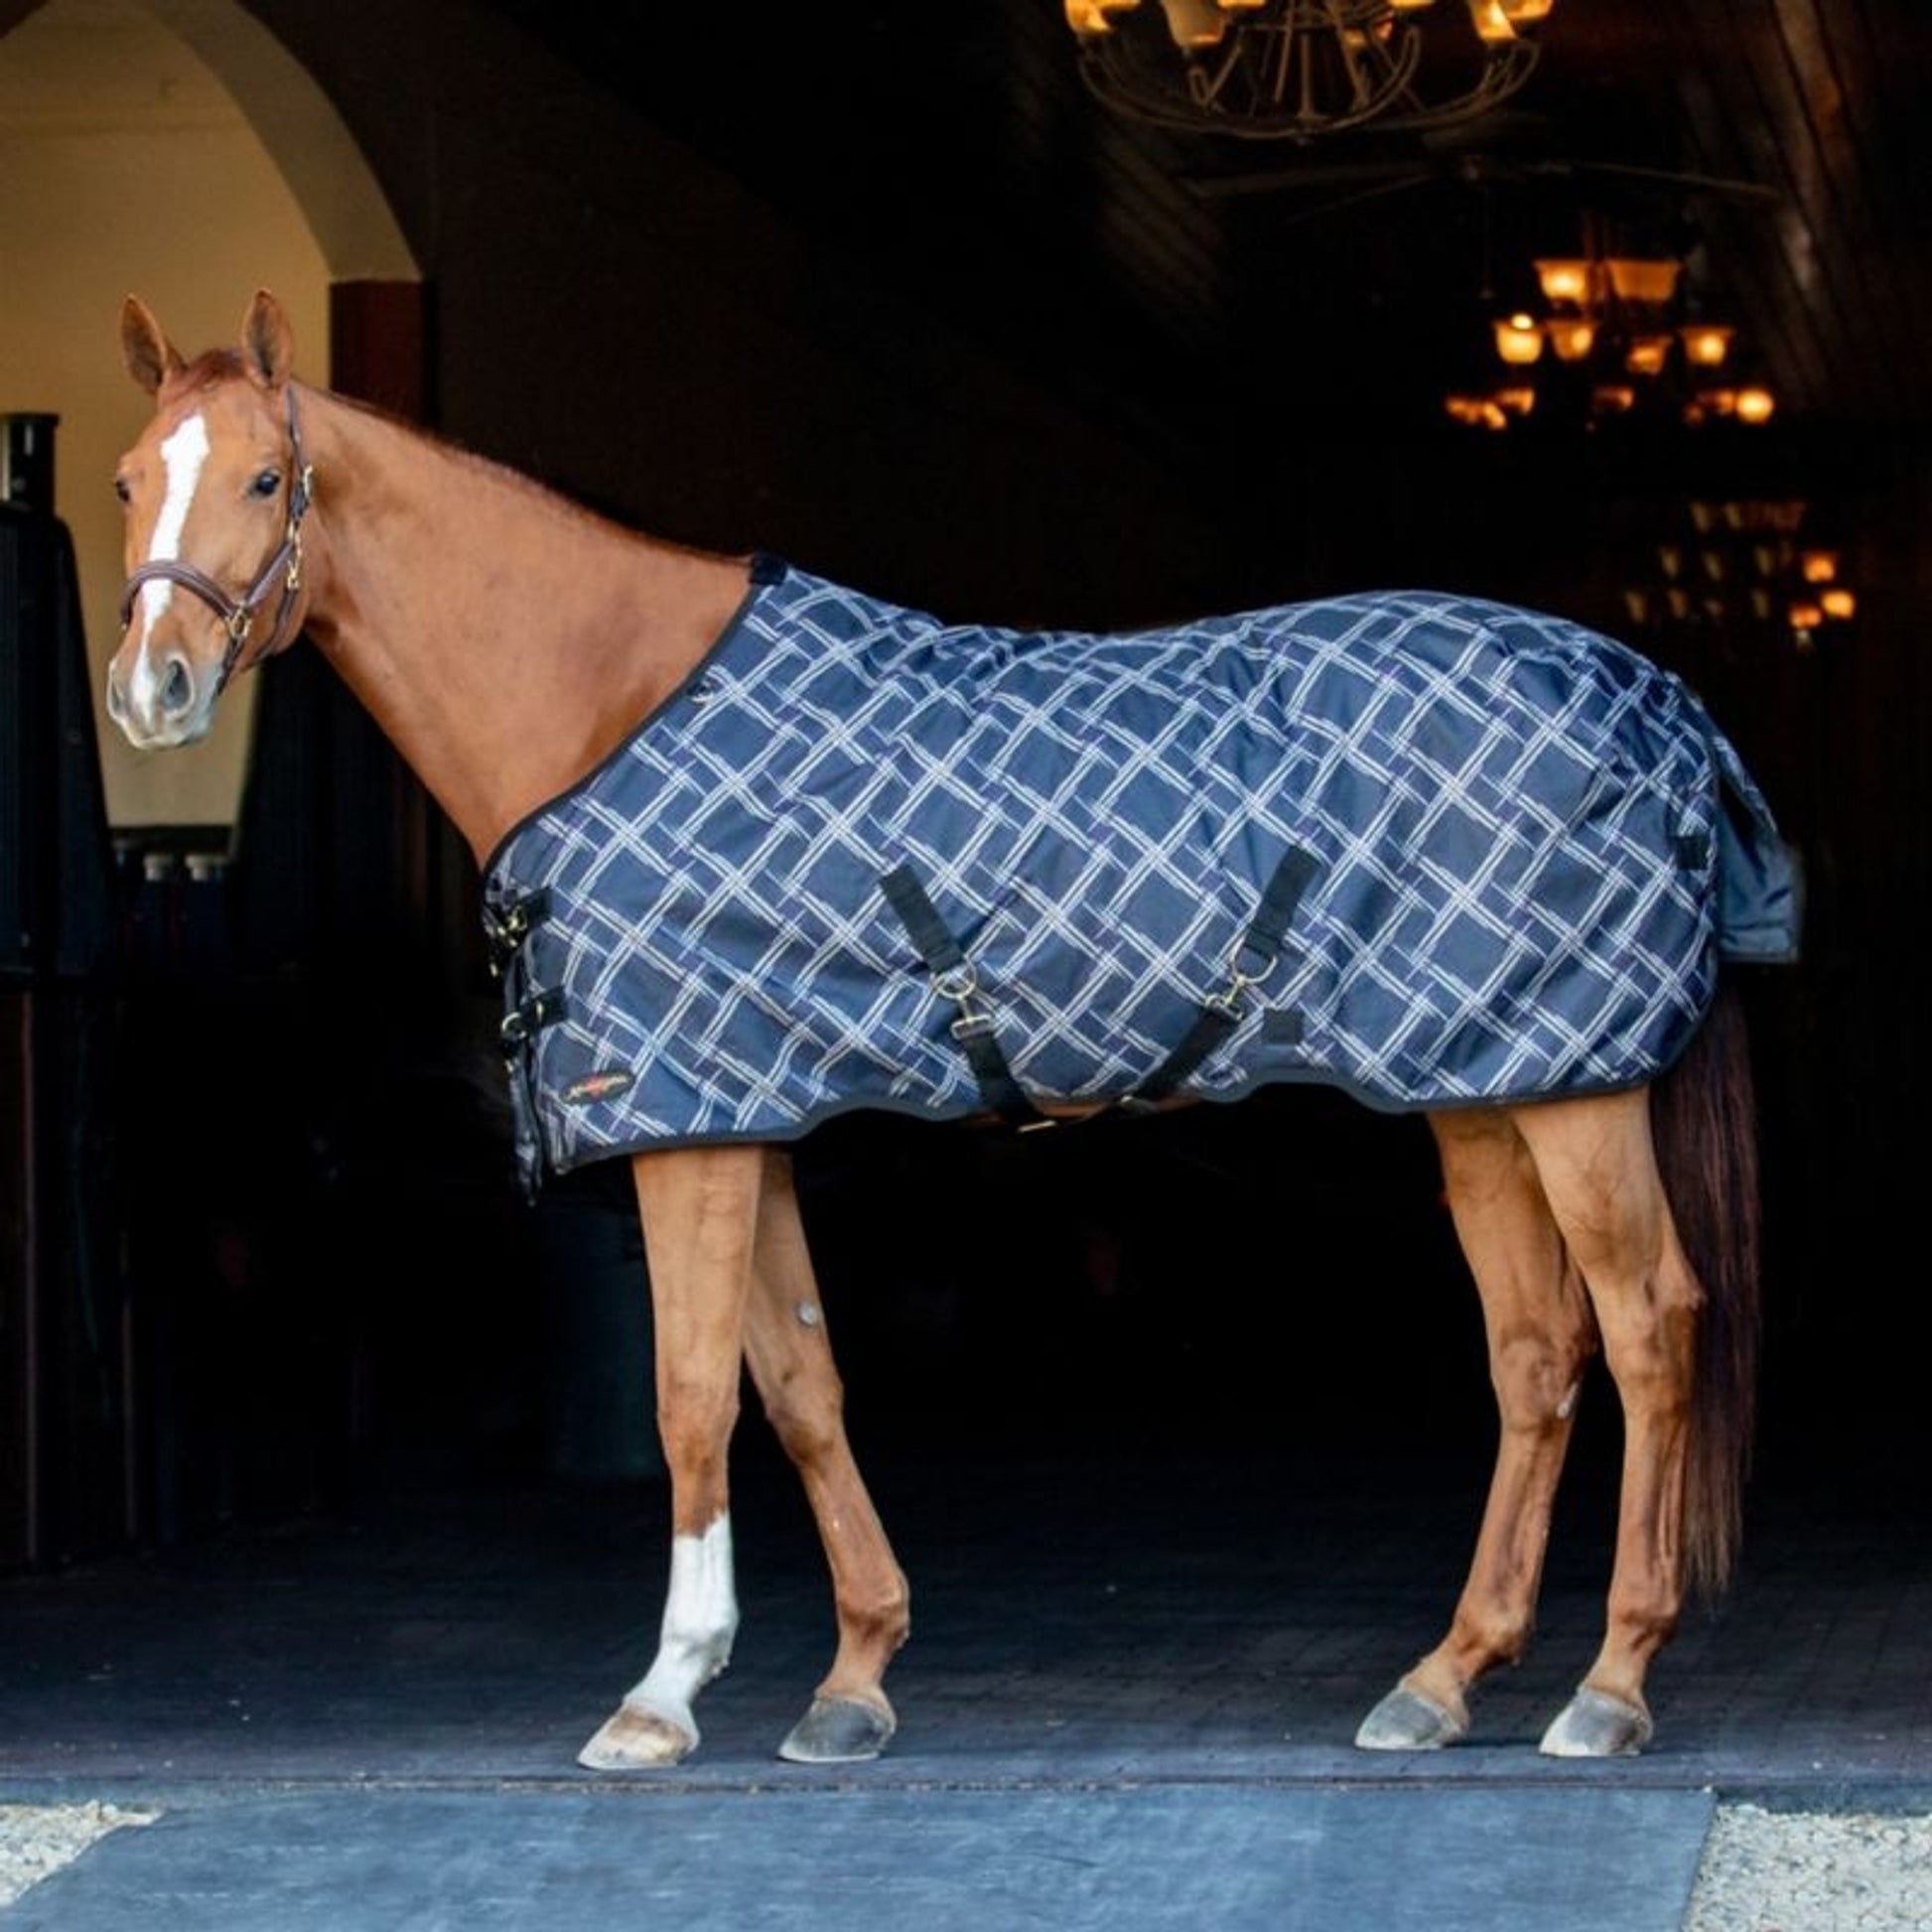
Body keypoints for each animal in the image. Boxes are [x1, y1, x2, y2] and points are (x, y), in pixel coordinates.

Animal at [105, 288, 1797, 1769]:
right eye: (127, 479)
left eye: (264, 475)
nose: (150, 689)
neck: (609, 701)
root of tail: (1653, 694)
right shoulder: (746, 1118)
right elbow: (799, 1385)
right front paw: (851, 1676)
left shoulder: (686, 1128)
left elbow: (690, 1395)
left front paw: (662, 1693)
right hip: (1484, 1090)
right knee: (1535, 1350)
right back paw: (1446, 1677)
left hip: (1575, 1095)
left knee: (1647, 1328)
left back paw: (1607, 1684)